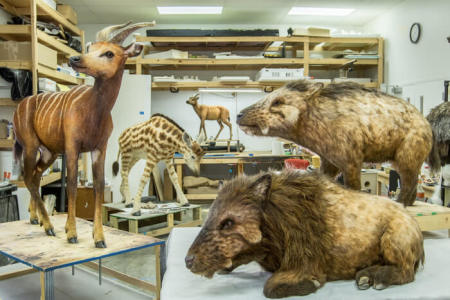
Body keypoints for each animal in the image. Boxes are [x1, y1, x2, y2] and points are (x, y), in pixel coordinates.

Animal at [13, 20, 156, 246]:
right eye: (90, 48)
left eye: (109, 53)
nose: (74, 58)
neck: (93, 112)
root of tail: (20, 106)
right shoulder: (73, 146)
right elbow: (71, 184)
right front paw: (72, 233)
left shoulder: (100, 147)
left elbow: (98, 185)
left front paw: (99, 238)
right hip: (30, 145)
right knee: (28, 178)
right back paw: (50, 227)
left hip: (49, 151)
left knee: (35, 177)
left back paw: (38, 220)